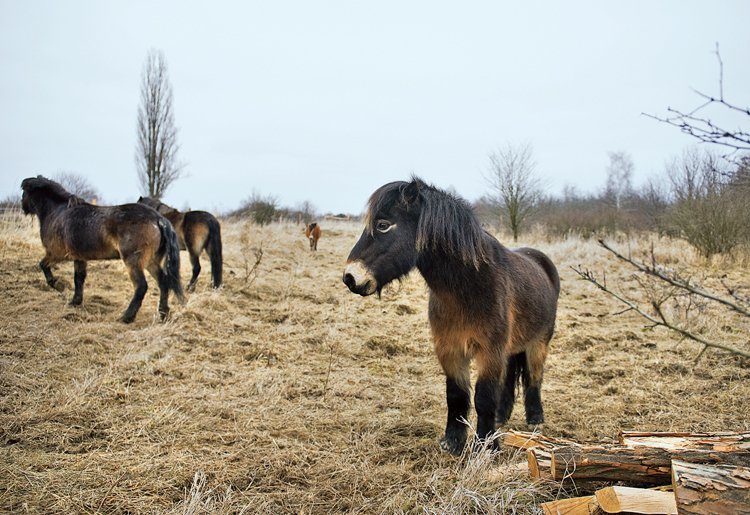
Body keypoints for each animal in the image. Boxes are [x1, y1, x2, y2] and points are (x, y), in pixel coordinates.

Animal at [21, 176, 186, 322]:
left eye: (24, 192)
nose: (23, 208)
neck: (57, 212)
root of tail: (158, 219)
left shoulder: (57, 253)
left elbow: (43, 265)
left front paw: (58, 285)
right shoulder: (79, 257)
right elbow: (78, 279)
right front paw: (75, 302)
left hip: (134, 261)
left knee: (141, 286)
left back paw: (127, 317)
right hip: (151, 261)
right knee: (163, 282)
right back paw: (163, 314)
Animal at [344, 177, 560, 456]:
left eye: (383, 225)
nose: (350, 277)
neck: (470, 286)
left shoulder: (489, 352)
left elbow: (483, 397)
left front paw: (485, 446)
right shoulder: (449, 349)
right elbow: (456, 395)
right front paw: (453, 442)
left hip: (538, 343)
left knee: (535, 377)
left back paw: (535, 418)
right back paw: (502, 417)